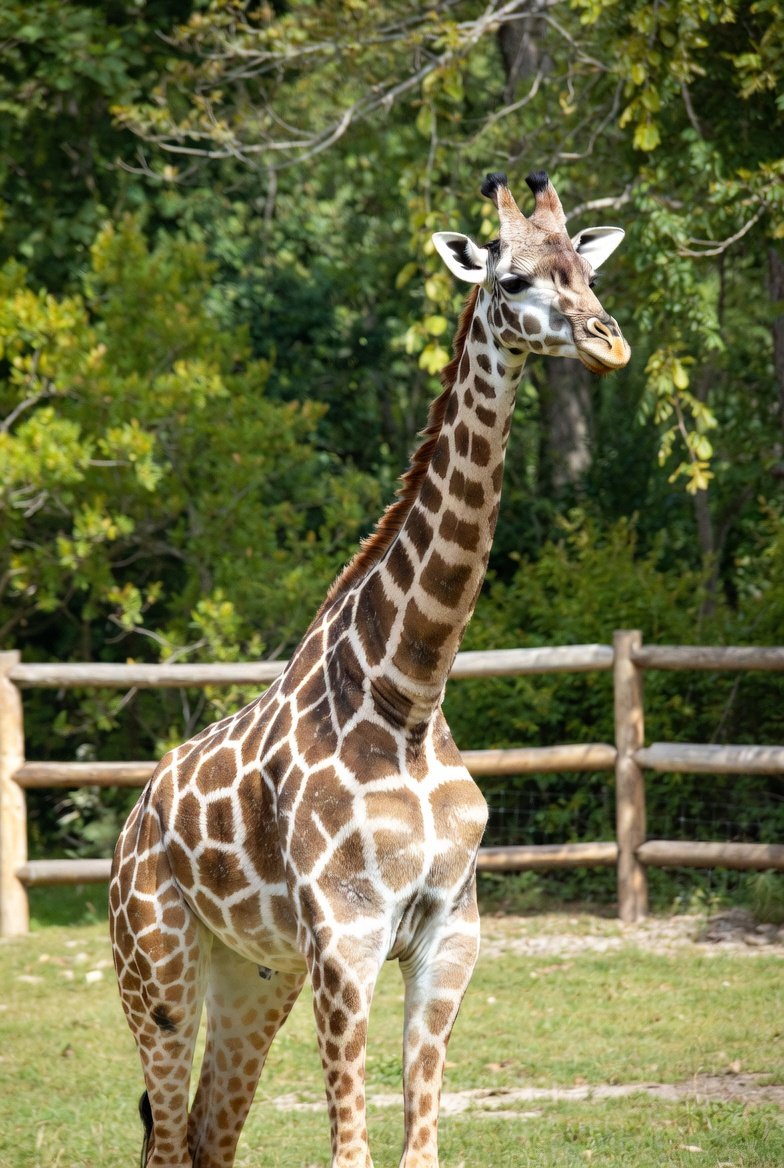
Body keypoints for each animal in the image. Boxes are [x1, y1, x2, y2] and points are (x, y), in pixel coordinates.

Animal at [110, 170, 630, 1168]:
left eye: (584, 269)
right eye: (511, 278)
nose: (607, 340)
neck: (410, 694)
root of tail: (133, 819)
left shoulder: (449, 937)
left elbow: (419, 1145)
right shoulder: (345, 942)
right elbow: (349, 1148)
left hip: (253, 973)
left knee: (208, 1134)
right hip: (155, 970)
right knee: (164, 1138)